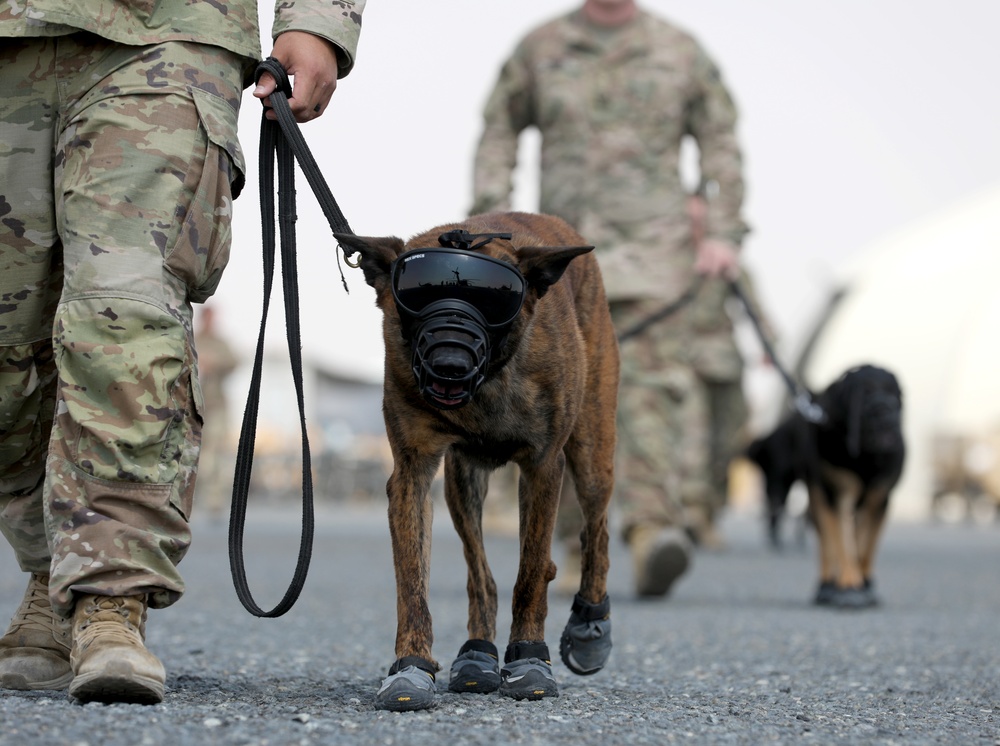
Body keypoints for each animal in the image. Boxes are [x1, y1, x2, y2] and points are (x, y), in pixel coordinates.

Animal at [336, 212, 616, 712]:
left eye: (494, 300)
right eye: (418, 294)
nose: (450, 361)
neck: (488, 385)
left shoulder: (544, 467)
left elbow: (531, 572)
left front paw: (530, 657)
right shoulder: (412, 473)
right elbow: (412, 580)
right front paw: (411, 664)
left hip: (591, 453)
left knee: (595, 530)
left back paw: (589, 625)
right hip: (462, 481)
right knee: (480, 575)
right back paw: (477, 656)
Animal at [748, 364, 904, 608]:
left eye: (893, 394)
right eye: (862, 395)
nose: (885, 411)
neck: (864, 458)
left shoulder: (880, 498)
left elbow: (864, 547)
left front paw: (865, 583)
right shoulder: (834, 494)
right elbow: (842, 544)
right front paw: (849, 584)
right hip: (790, 488)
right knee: (819, 537)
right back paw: (827, 585)